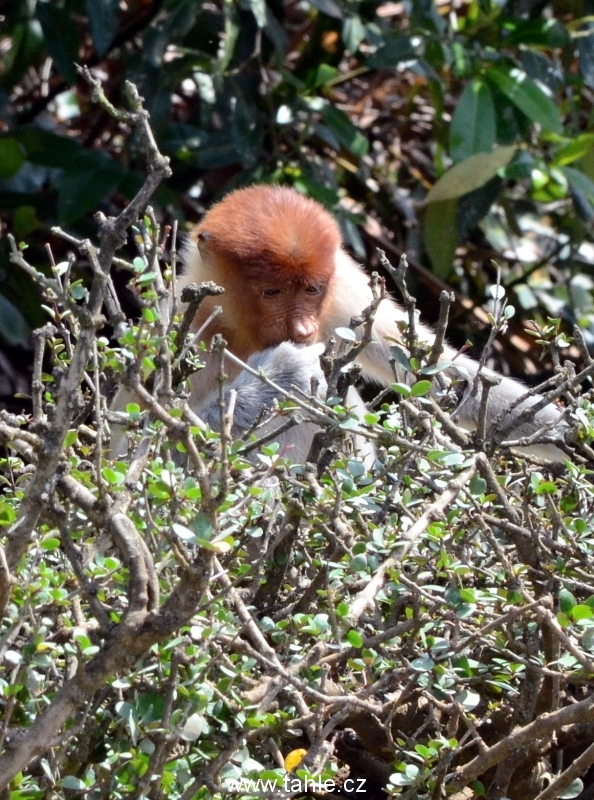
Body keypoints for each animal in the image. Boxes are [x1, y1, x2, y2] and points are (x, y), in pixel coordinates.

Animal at [178, 186, 568, 462]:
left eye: (312, 289)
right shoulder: (188, 326)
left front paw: (571, 436)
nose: (304, 331)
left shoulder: (345, 293)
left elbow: (443, 375)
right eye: (271, 292)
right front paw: (288, 369)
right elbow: (175, 453)